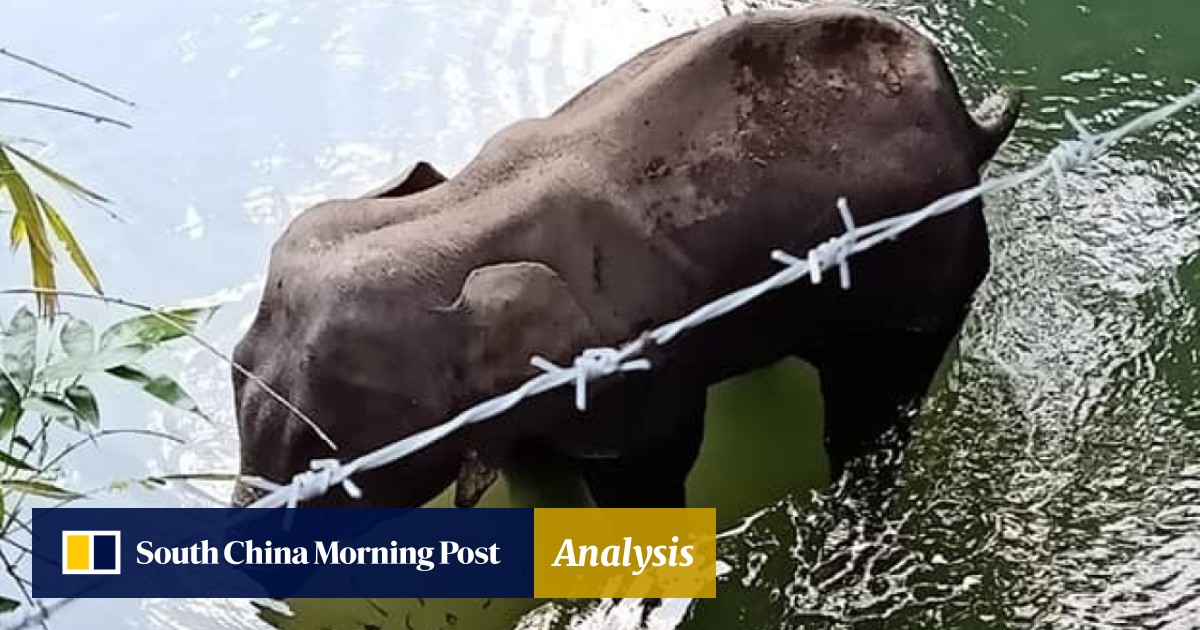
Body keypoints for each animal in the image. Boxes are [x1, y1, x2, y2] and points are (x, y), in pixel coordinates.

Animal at [231, 4, 1020, 509]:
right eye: (236, 366)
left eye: (333, 465)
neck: (458, 217)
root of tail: (972, 123)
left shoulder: (629, 371)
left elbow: (651, 466)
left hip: (925, 264)